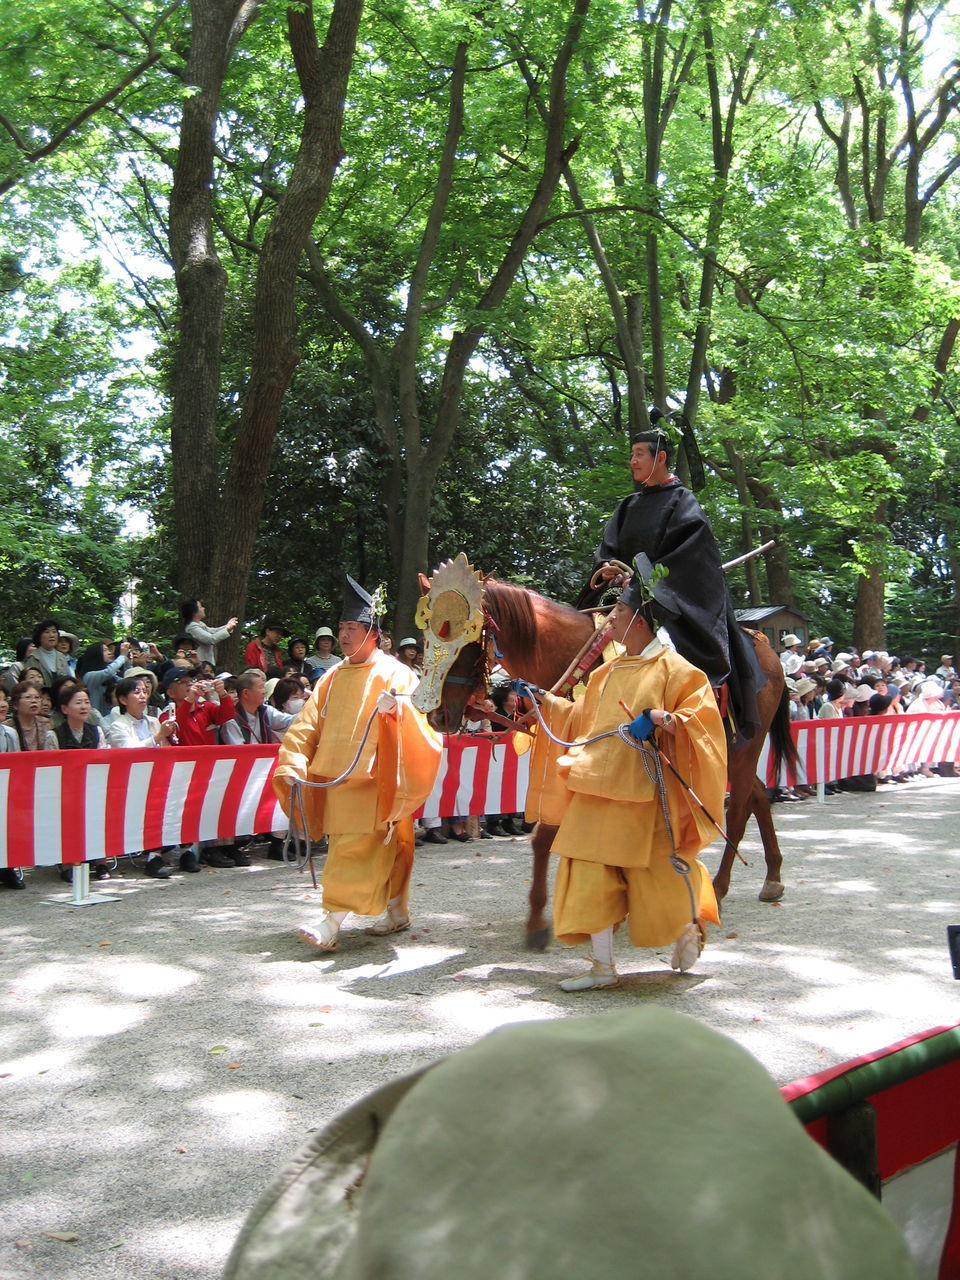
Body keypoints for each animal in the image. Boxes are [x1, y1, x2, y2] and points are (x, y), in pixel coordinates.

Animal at [430, 581, 798, 952]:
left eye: (467, 638)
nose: (438, 715)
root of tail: (767, 650)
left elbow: (546, 835)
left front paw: (538, 922)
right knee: (757, 795)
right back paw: (773, 876)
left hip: (741, 744)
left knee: (738, 810)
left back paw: (720, 889)